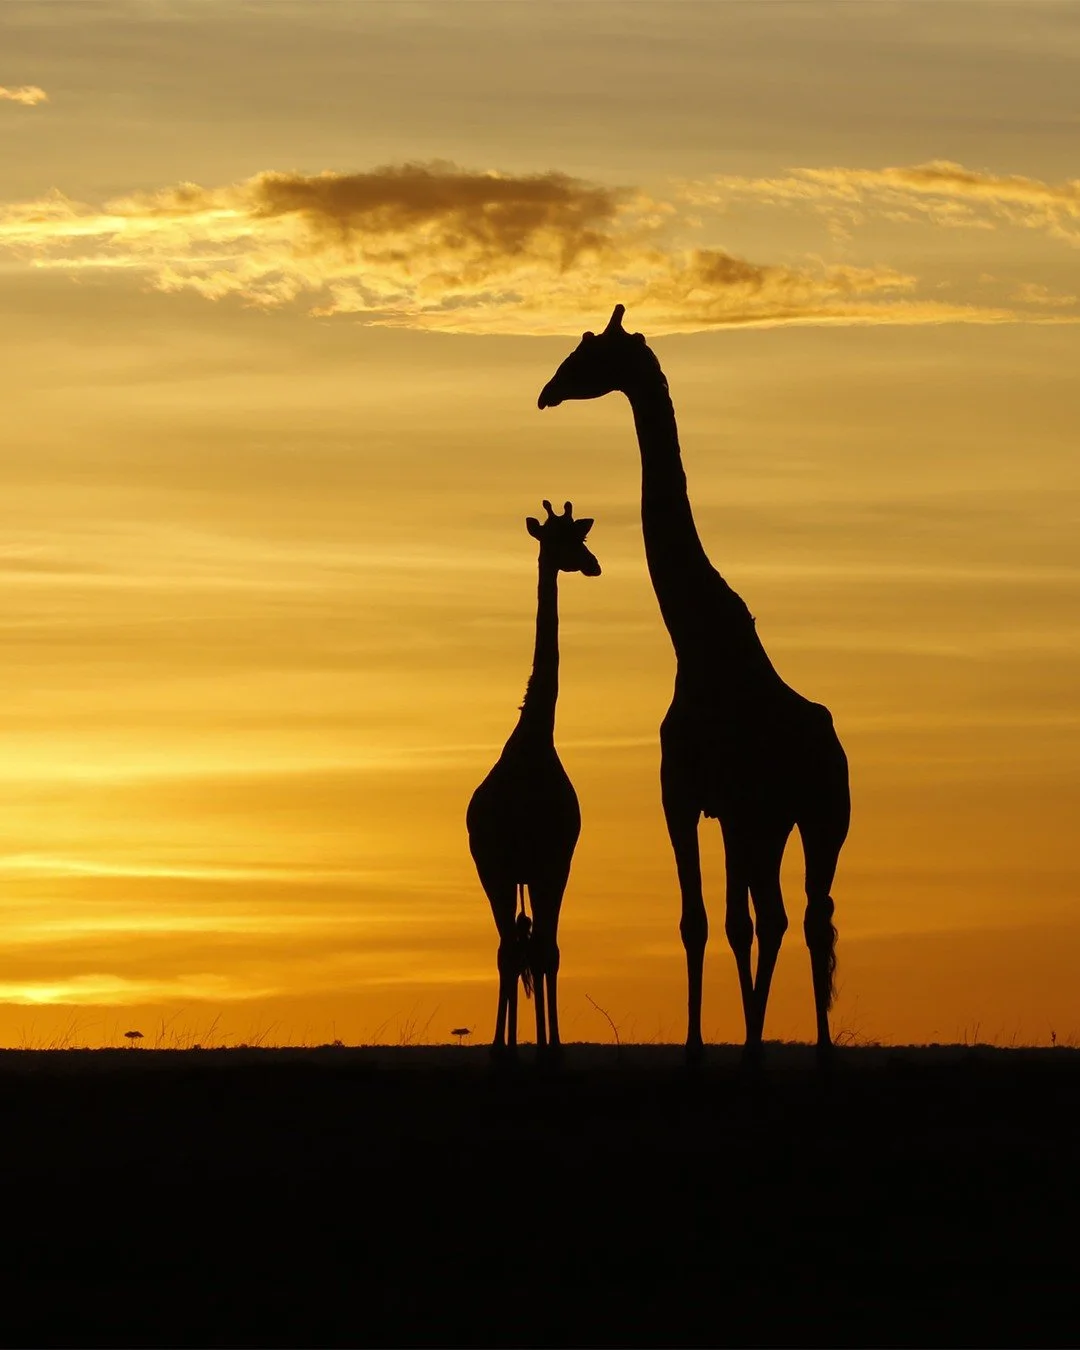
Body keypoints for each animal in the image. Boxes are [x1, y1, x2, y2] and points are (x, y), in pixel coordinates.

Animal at [538, 306, 850, 1063]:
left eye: (590, 355)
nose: (547, 393)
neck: (696, 640)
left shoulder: (708, 800)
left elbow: (723, 923)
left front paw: (723, 1051)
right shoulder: (700, 804)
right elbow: (708, 921)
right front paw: (711, 1046)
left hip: (819, 817)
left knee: (803, 916)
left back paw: (811, 1049)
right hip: (783, 822)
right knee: (785, 915)